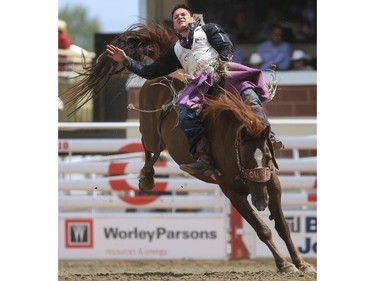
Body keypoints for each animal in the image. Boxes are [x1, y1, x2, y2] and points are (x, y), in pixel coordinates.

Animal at [62, 21, 318, 274]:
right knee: (147, 147)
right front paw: (284, 264)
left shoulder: (272, 183)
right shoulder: (231, 191)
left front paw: (302, 263)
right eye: (244, 158)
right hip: (150, 130)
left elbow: (283, 226)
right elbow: (262, 229)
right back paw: (147, 179)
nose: (260, 201)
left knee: (156, 151)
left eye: (266, 156)